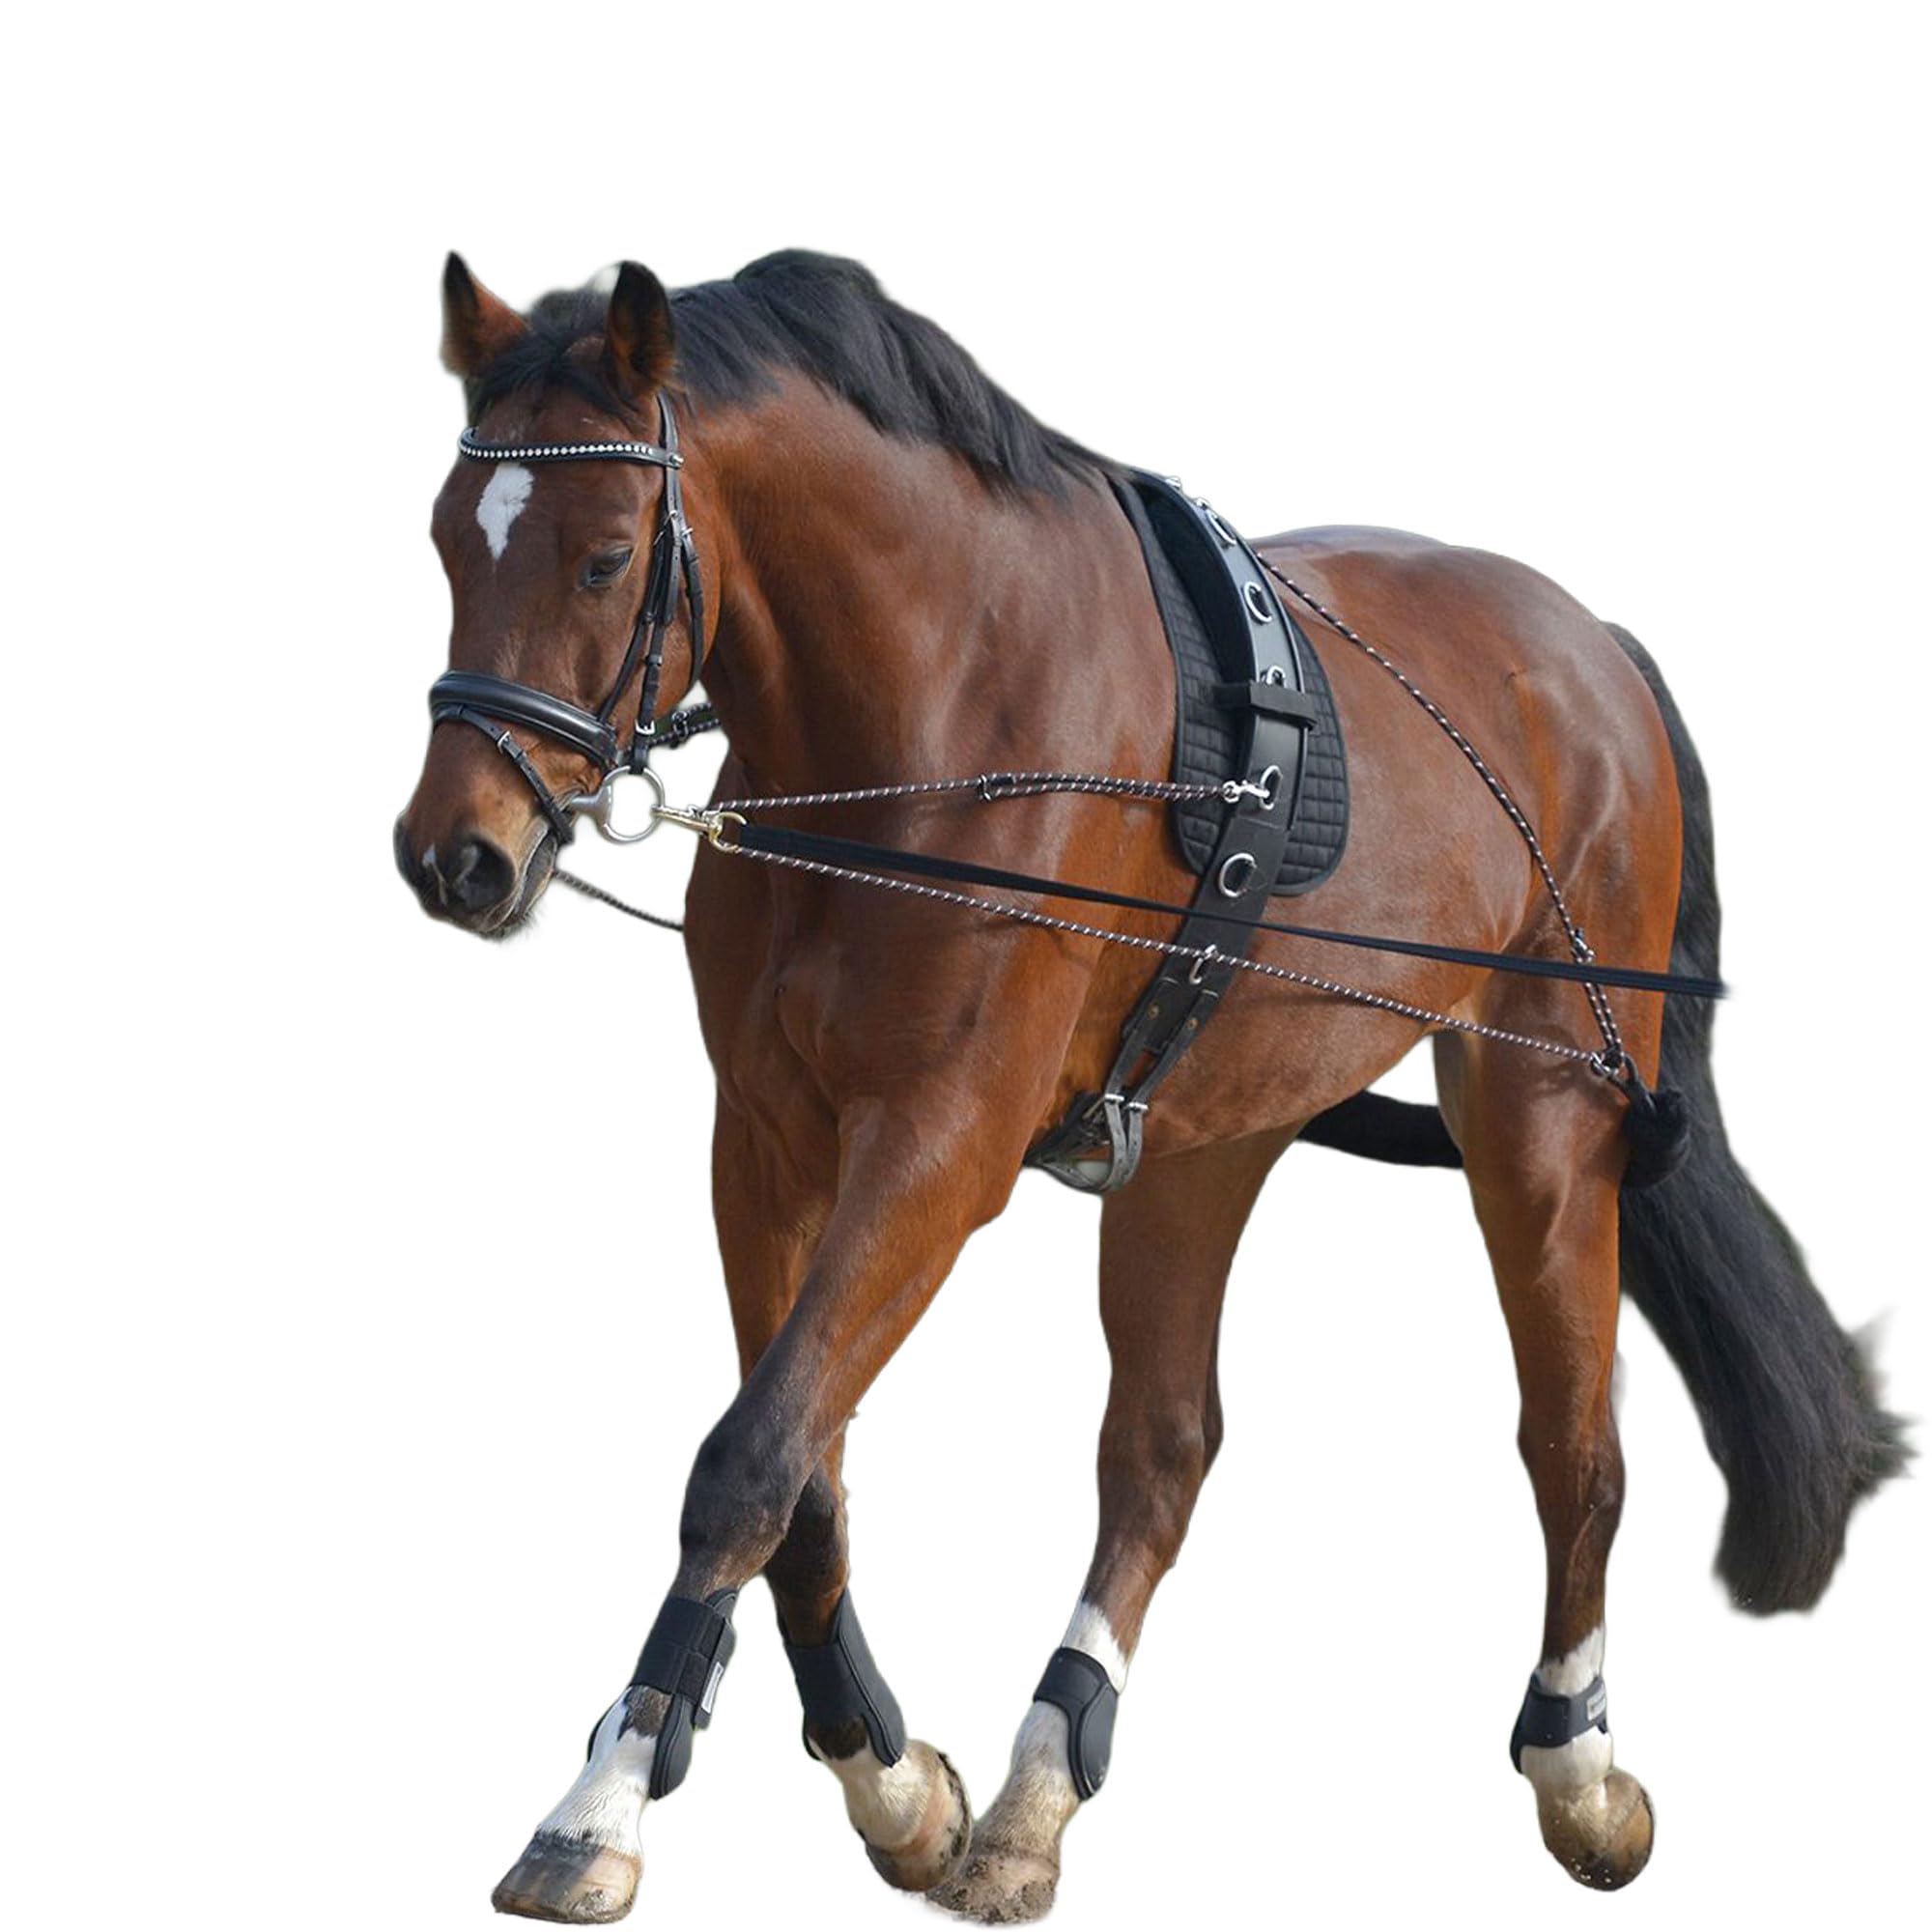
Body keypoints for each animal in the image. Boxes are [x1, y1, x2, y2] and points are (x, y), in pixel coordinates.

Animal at [394, 249, 1904, 1923]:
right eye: (450, 538)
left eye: (604, 558)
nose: (455, 856)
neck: (931, 709)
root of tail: (1595, 651)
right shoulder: (768, 1143)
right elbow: (804, 1472)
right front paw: (892, 1786)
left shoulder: (939, 1151)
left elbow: (749, 1463)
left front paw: (600, 1809)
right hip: (1206, 1135)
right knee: (1162, 1452)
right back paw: (1043, 1782)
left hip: (1544, 1122)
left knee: (1571, 1445)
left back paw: (1577, 1765)